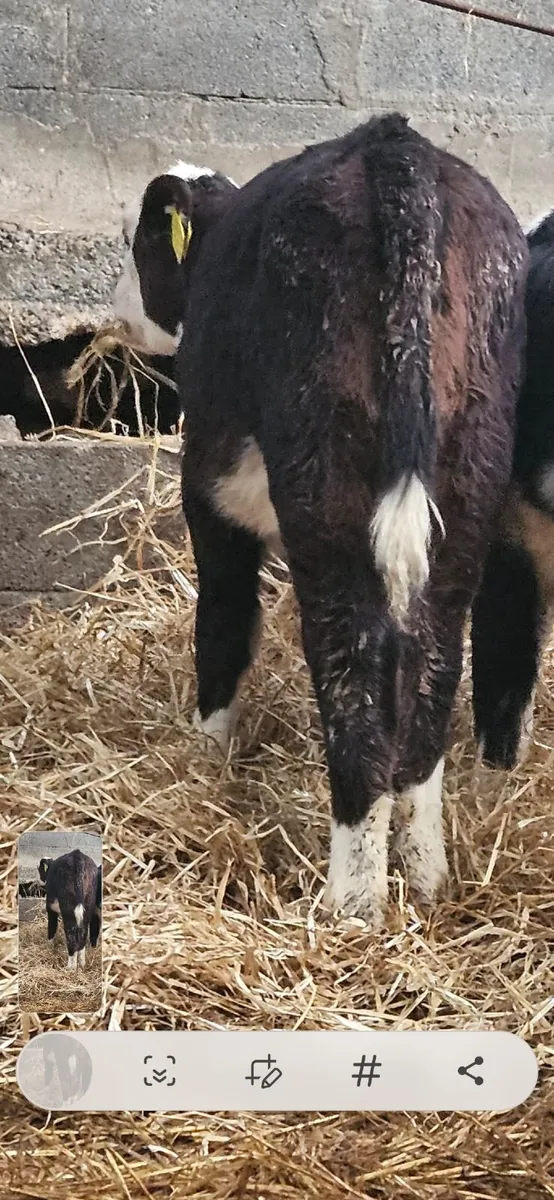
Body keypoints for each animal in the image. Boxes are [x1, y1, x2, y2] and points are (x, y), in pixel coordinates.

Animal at [116, 114, 527, 925]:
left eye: (145, 241)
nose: (118, 310)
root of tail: (394, 149)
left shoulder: (210, 494)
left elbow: (222, 624)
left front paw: (207, 756)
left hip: (328, 489)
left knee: (353, 669)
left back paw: (353, 903)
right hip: (467, 484)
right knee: (434, 668)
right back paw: (425, 878)